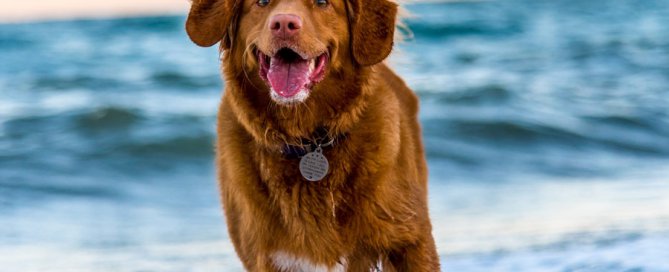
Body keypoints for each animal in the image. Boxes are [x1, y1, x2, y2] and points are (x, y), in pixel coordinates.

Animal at [185, 0, 440, 270]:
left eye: (322, 2)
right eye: (262, 2)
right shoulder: (268, 257)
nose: (284, 24)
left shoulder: (411, 242)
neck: (308, 140)